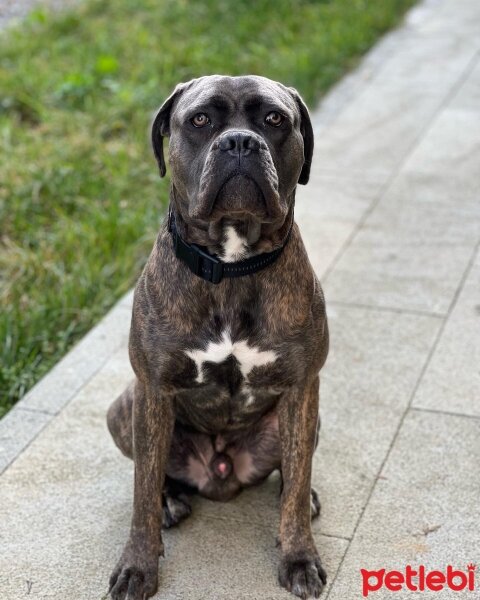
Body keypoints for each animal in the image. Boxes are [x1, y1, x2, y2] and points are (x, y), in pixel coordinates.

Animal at [106, 75, 328, 600]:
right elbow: (141, 493)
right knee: (155, 474)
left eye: (275, 119)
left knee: (294, 468)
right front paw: (137, 566)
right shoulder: (152, 390)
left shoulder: (303, 386)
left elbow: (296, 480)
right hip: (125, 408)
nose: (240, 142)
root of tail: (222, 475)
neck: (229, 265)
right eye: (200, 119)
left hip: (306, 416)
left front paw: (299, 556)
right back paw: (170, 500)